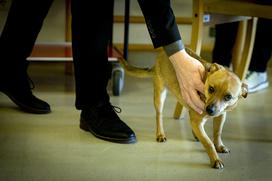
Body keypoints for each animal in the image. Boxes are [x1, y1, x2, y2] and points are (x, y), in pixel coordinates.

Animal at [118, 47, 248, 169]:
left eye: (228, 97)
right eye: (211, 89)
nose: (209, 110)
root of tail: (162, 53)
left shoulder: (221, 116)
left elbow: (217, 133)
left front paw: (219, 146)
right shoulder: (197, 120)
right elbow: (208, 142)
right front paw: (215, 159)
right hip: (160, 95)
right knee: (159, 116)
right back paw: (160, 134)